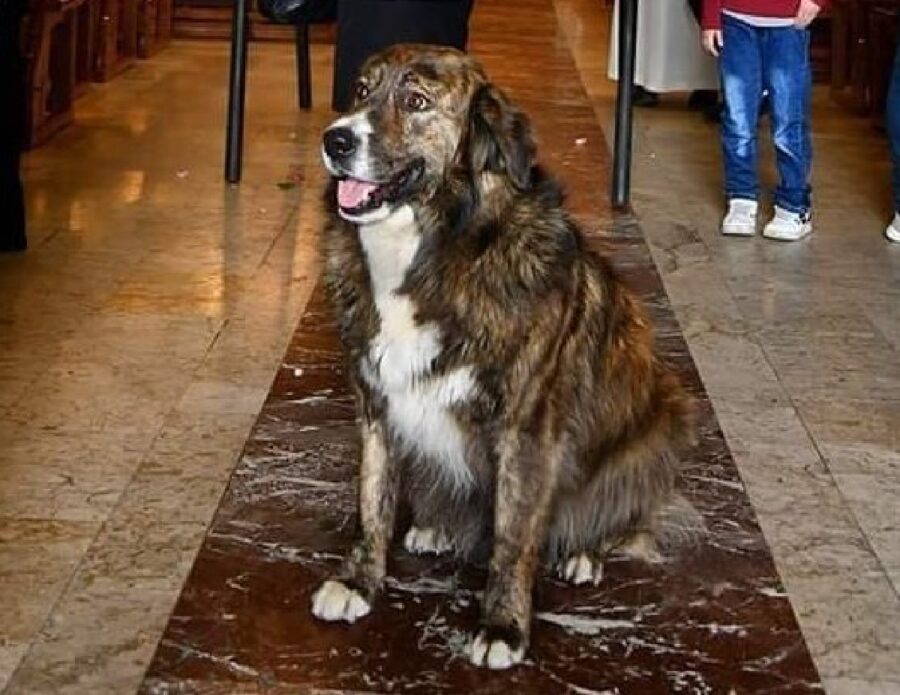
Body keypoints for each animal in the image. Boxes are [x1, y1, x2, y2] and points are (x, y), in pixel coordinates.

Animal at [310, 42, 696, 668]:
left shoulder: (526, 427)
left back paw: (585, 551)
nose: (335, 140)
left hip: (664, 421)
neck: (435, 247)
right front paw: (360, 582)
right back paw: (437, 527)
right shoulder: (376, 402)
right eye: (361, 92)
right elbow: (373, 500)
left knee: (629, 519)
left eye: (416, 101)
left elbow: (513, 539)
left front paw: (502, 626)